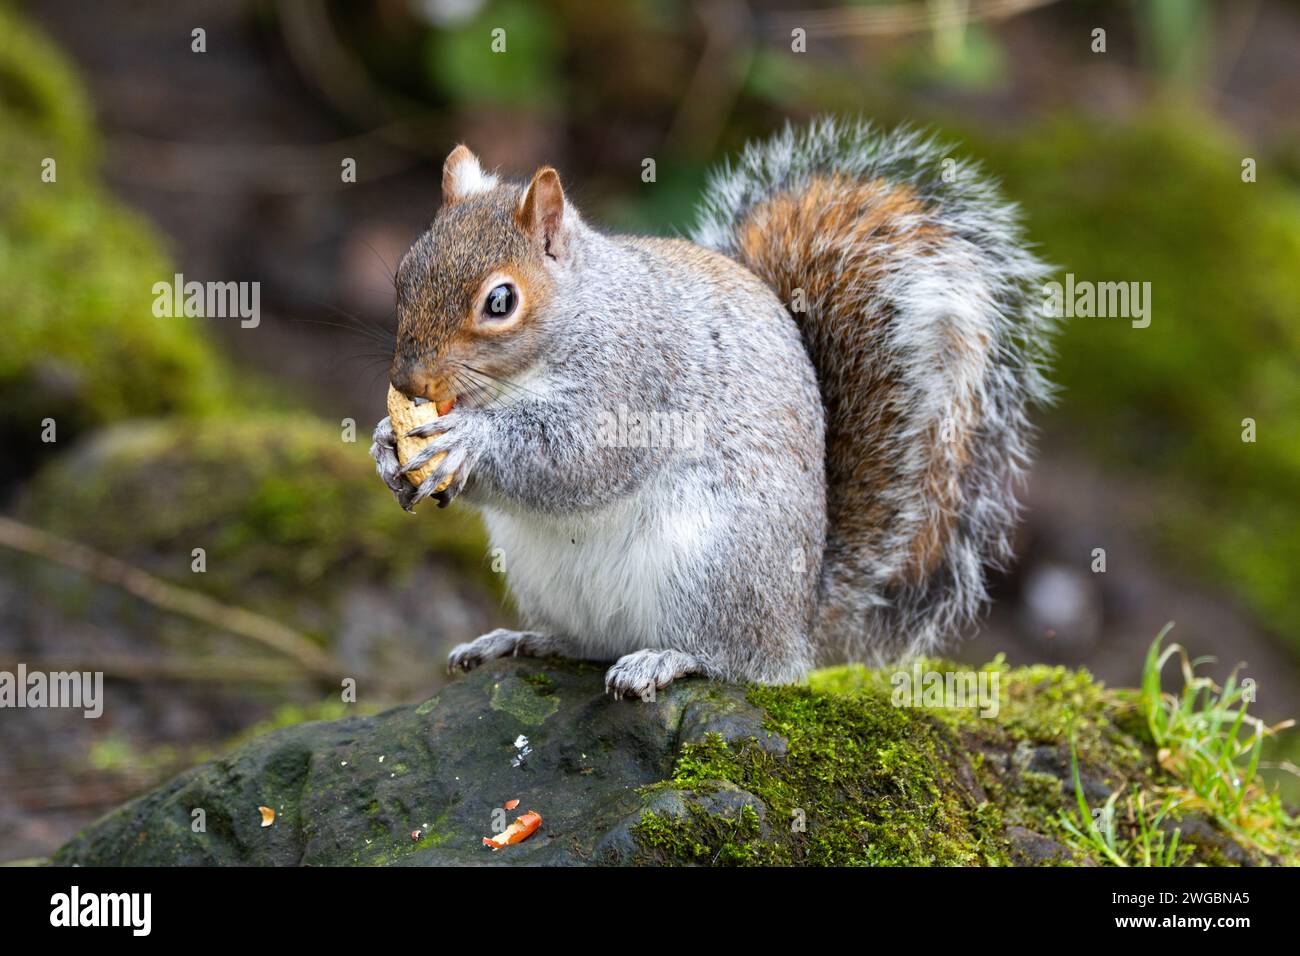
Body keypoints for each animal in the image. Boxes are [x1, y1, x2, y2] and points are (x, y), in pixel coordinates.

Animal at [369, 121, 1055, 702]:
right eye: (404, 271)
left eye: (501, 301)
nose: (408, 380)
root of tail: (800, 623)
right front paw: (385, 445)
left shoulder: (636, 379)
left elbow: (577, 459)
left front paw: (465, 441)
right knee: (588, 643)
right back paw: (519, 640)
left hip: (715, 565)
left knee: (734, 661)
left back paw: (665, 659)